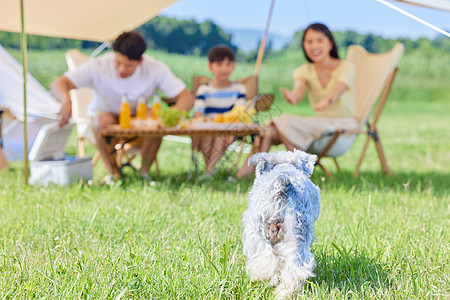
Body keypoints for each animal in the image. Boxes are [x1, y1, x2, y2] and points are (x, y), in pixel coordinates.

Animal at [243, 149, 320, 298]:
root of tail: (282, 185)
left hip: (258, 235)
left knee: (269, 260)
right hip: (296, 237)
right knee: (295, 267)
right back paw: (285, 293)